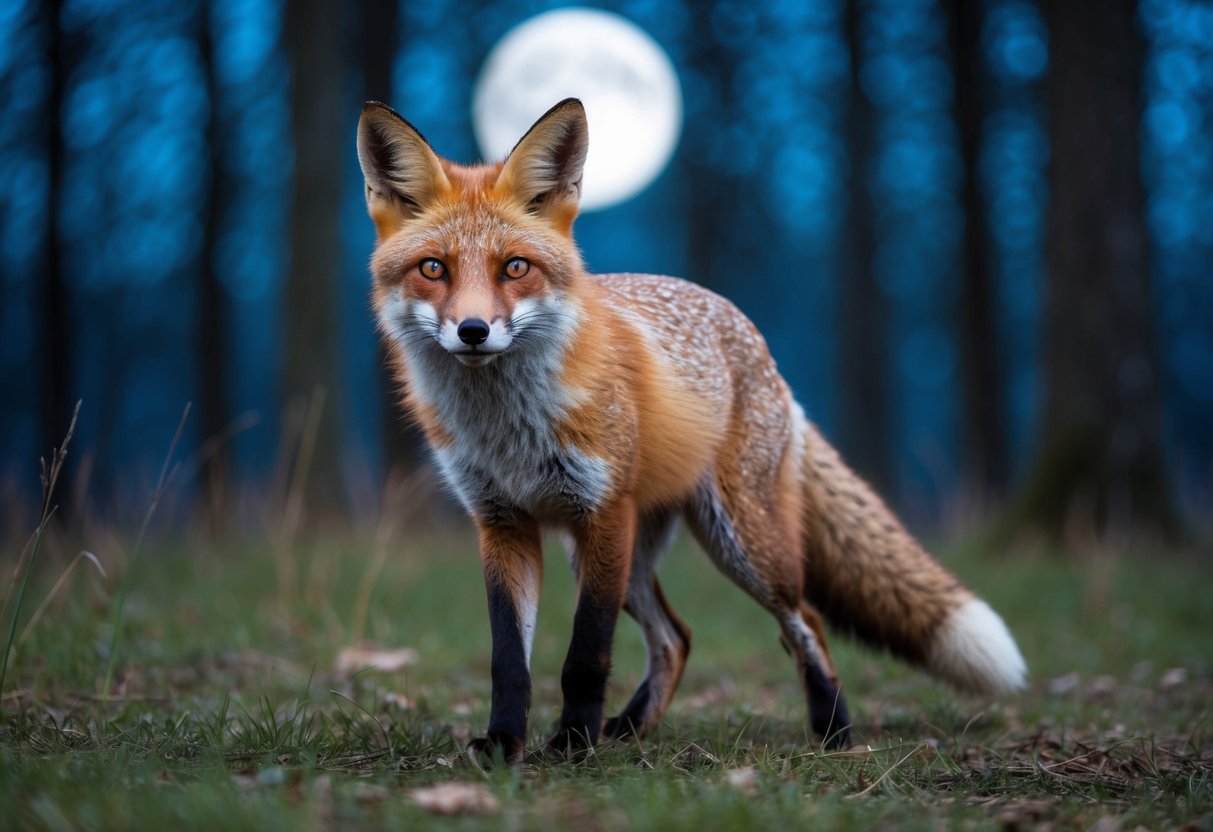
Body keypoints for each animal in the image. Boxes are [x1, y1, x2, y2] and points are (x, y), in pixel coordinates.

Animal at [356, 98, 1027, 764]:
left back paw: (834, 730)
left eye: (514, 267)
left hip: (738, 547)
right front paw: (504, 744)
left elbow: (585, 655)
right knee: (677, 638)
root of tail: (757, 343)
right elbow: (508, 660)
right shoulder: (501, 523)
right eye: (434, 269)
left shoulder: (605, 512)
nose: (473, 331)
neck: (509, 427)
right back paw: (630, 728)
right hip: (617, 555)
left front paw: (572, 744)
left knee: (804, 620)